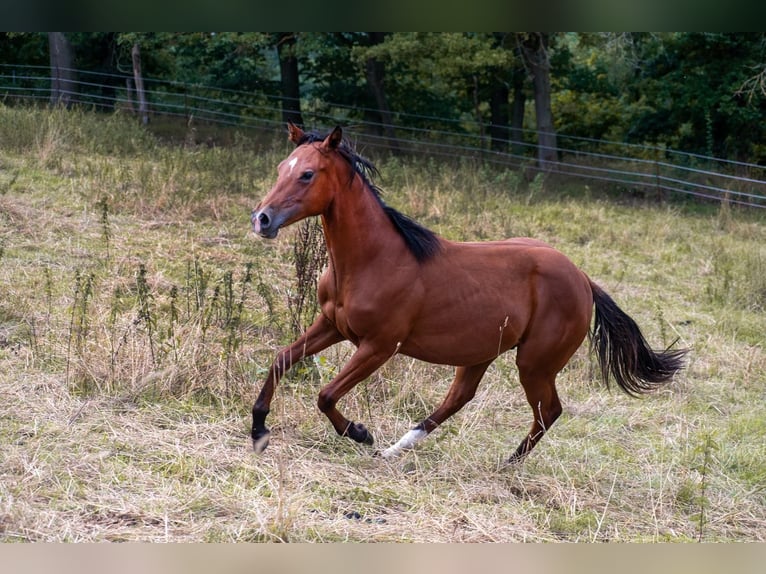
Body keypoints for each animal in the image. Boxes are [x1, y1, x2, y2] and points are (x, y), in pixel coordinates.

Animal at [250, 123, 687, 462]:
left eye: (307, 174)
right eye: (281, 168)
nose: (262, 219)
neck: (372, 259)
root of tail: (583, 278)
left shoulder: (379, 345)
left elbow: (325, 395)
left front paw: (359, 432)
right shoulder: (332, 325)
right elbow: (280, 360)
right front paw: (258, 430)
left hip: (534, 363)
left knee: (549, 411)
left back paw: (507, 463)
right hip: (480, 353)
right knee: (459, 398)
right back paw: (394, 451)